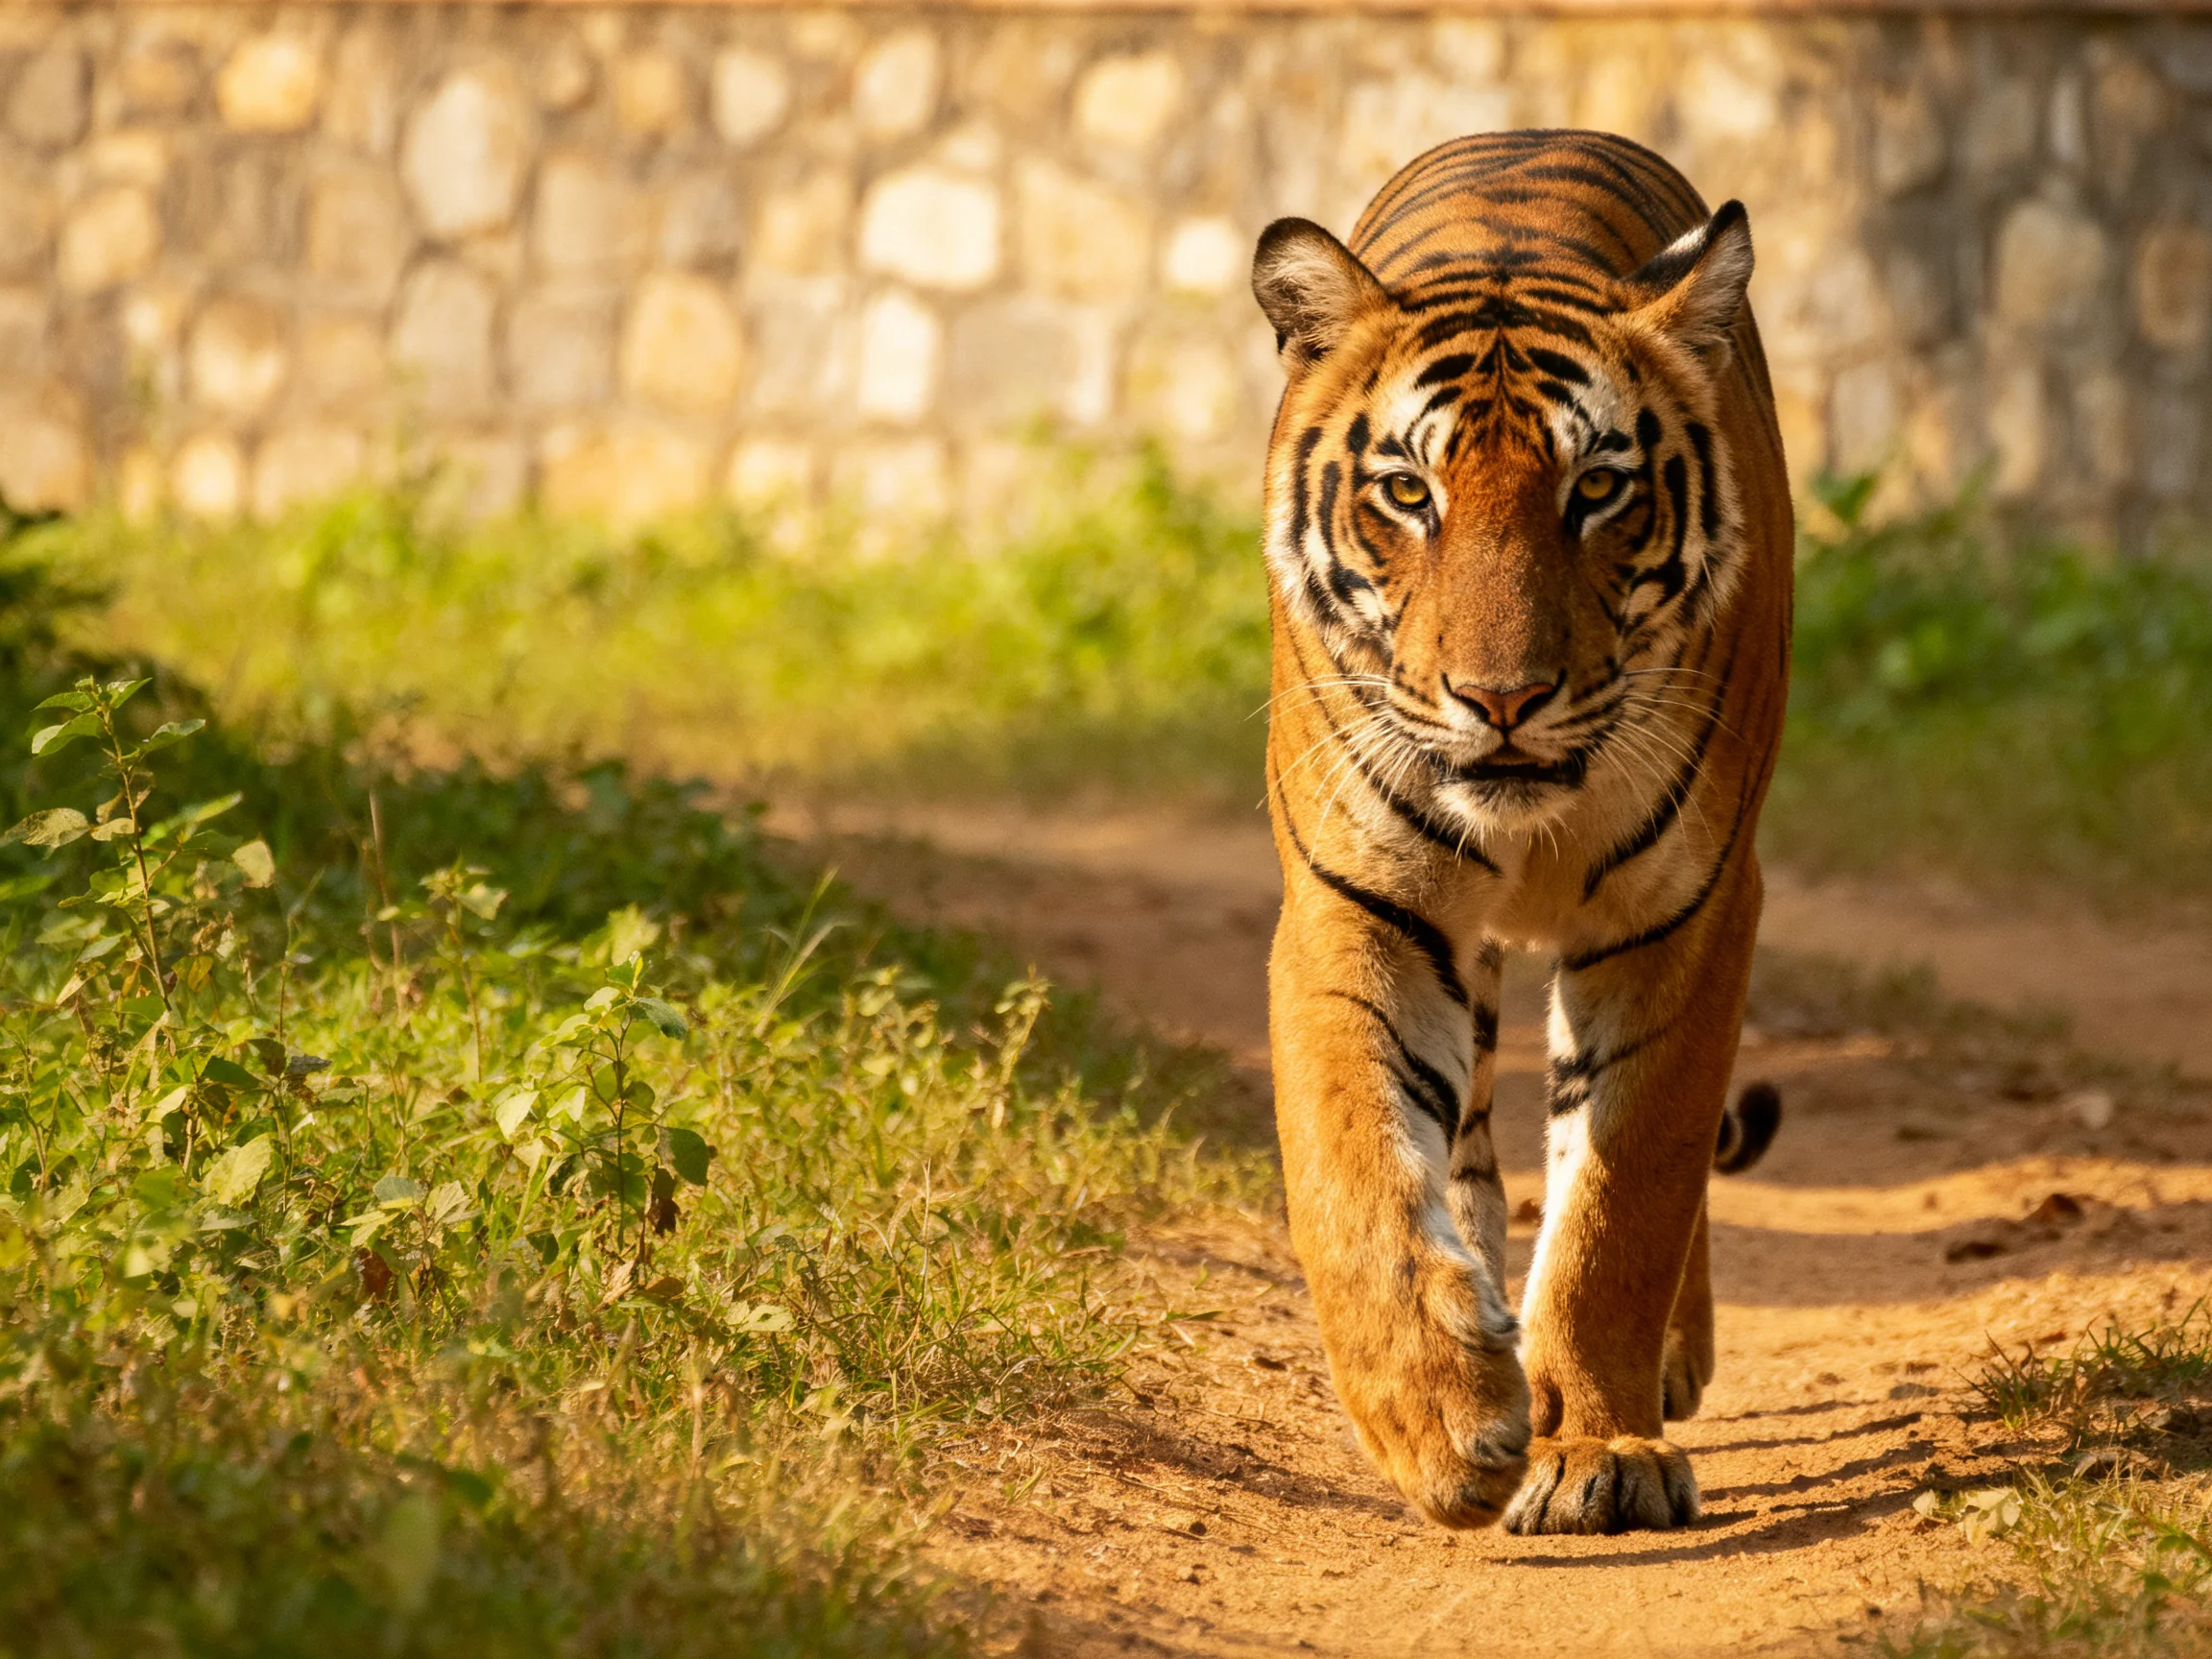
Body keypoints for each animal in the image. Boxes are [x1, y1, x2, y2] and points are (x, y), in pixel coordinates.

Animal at [1250, 129, 1791, 1535]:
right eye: (1407, 492)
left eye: (1596, 490)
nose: (1501, 699)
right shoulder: (1354, 904)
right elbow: (1353, 1172)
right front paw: (1446, 1423)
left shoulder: (1690, 911)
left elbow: (1624, 1198)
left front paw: (1599, 1448)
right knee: (1473, 1155)